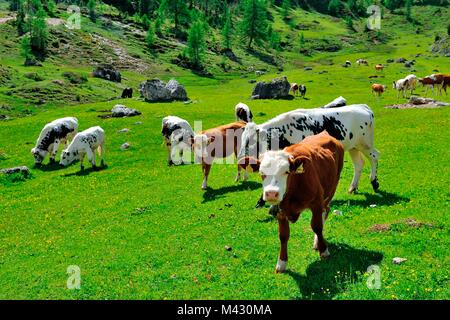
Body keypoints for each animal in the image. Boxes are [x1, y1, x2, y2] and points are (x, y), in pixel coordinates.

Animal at [244, 131, 342, 272]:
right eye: (262, 173)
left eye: (286, 172)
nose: (271, 193)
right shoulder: (280, 211)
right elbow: (283, 236)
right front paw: (281, 262)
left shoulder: (316, 203)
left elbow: (317, 226)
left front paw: (324, 250)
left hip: (330, 192)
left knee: (325, 211)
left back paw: (318, 242)